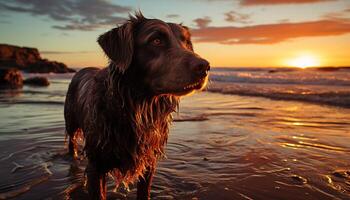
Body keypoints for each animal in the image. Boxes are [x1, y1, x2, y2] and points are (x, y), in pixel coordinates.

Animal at [64, 12, 209, 200]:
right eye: (156, 40)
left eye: (186, 42)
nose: (204, 67)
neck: (136, 106)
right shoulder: (96, 165)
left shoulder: (148, 159)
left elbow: (144, 190)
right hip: (71, 121)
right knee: (71, 141)